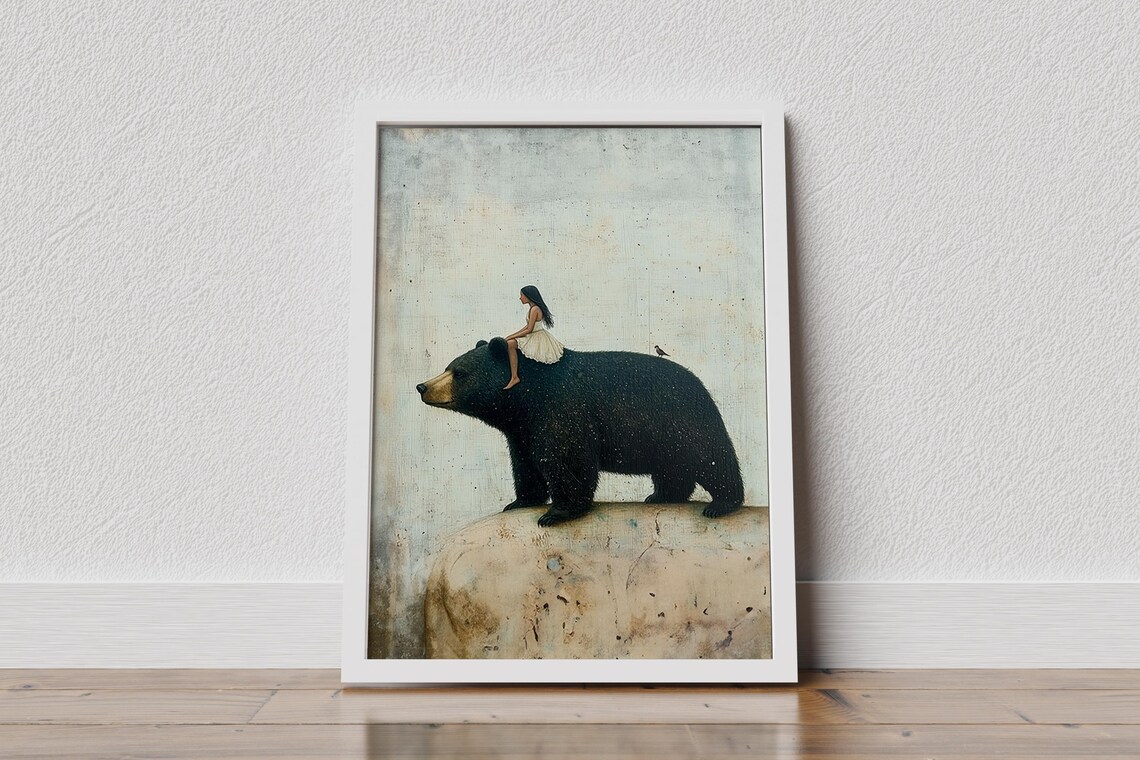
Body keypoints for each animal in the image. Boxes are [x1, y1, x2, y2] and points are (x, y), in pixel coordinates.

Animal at [416, 338, 744, 526]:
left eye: (459, 373)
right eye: (448, 366)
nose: (422, 386)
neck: (527, 398)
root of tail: (702, 388)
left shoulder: (562, 407)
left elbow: (566, 457)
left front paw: (556, 513)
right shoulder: (522, 428)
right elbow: (525, 463)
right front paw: (520, 501)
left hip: (682, 423)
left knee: (712, 460)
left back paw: (721, 505)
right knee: (673, 469)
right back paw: (661, 496)